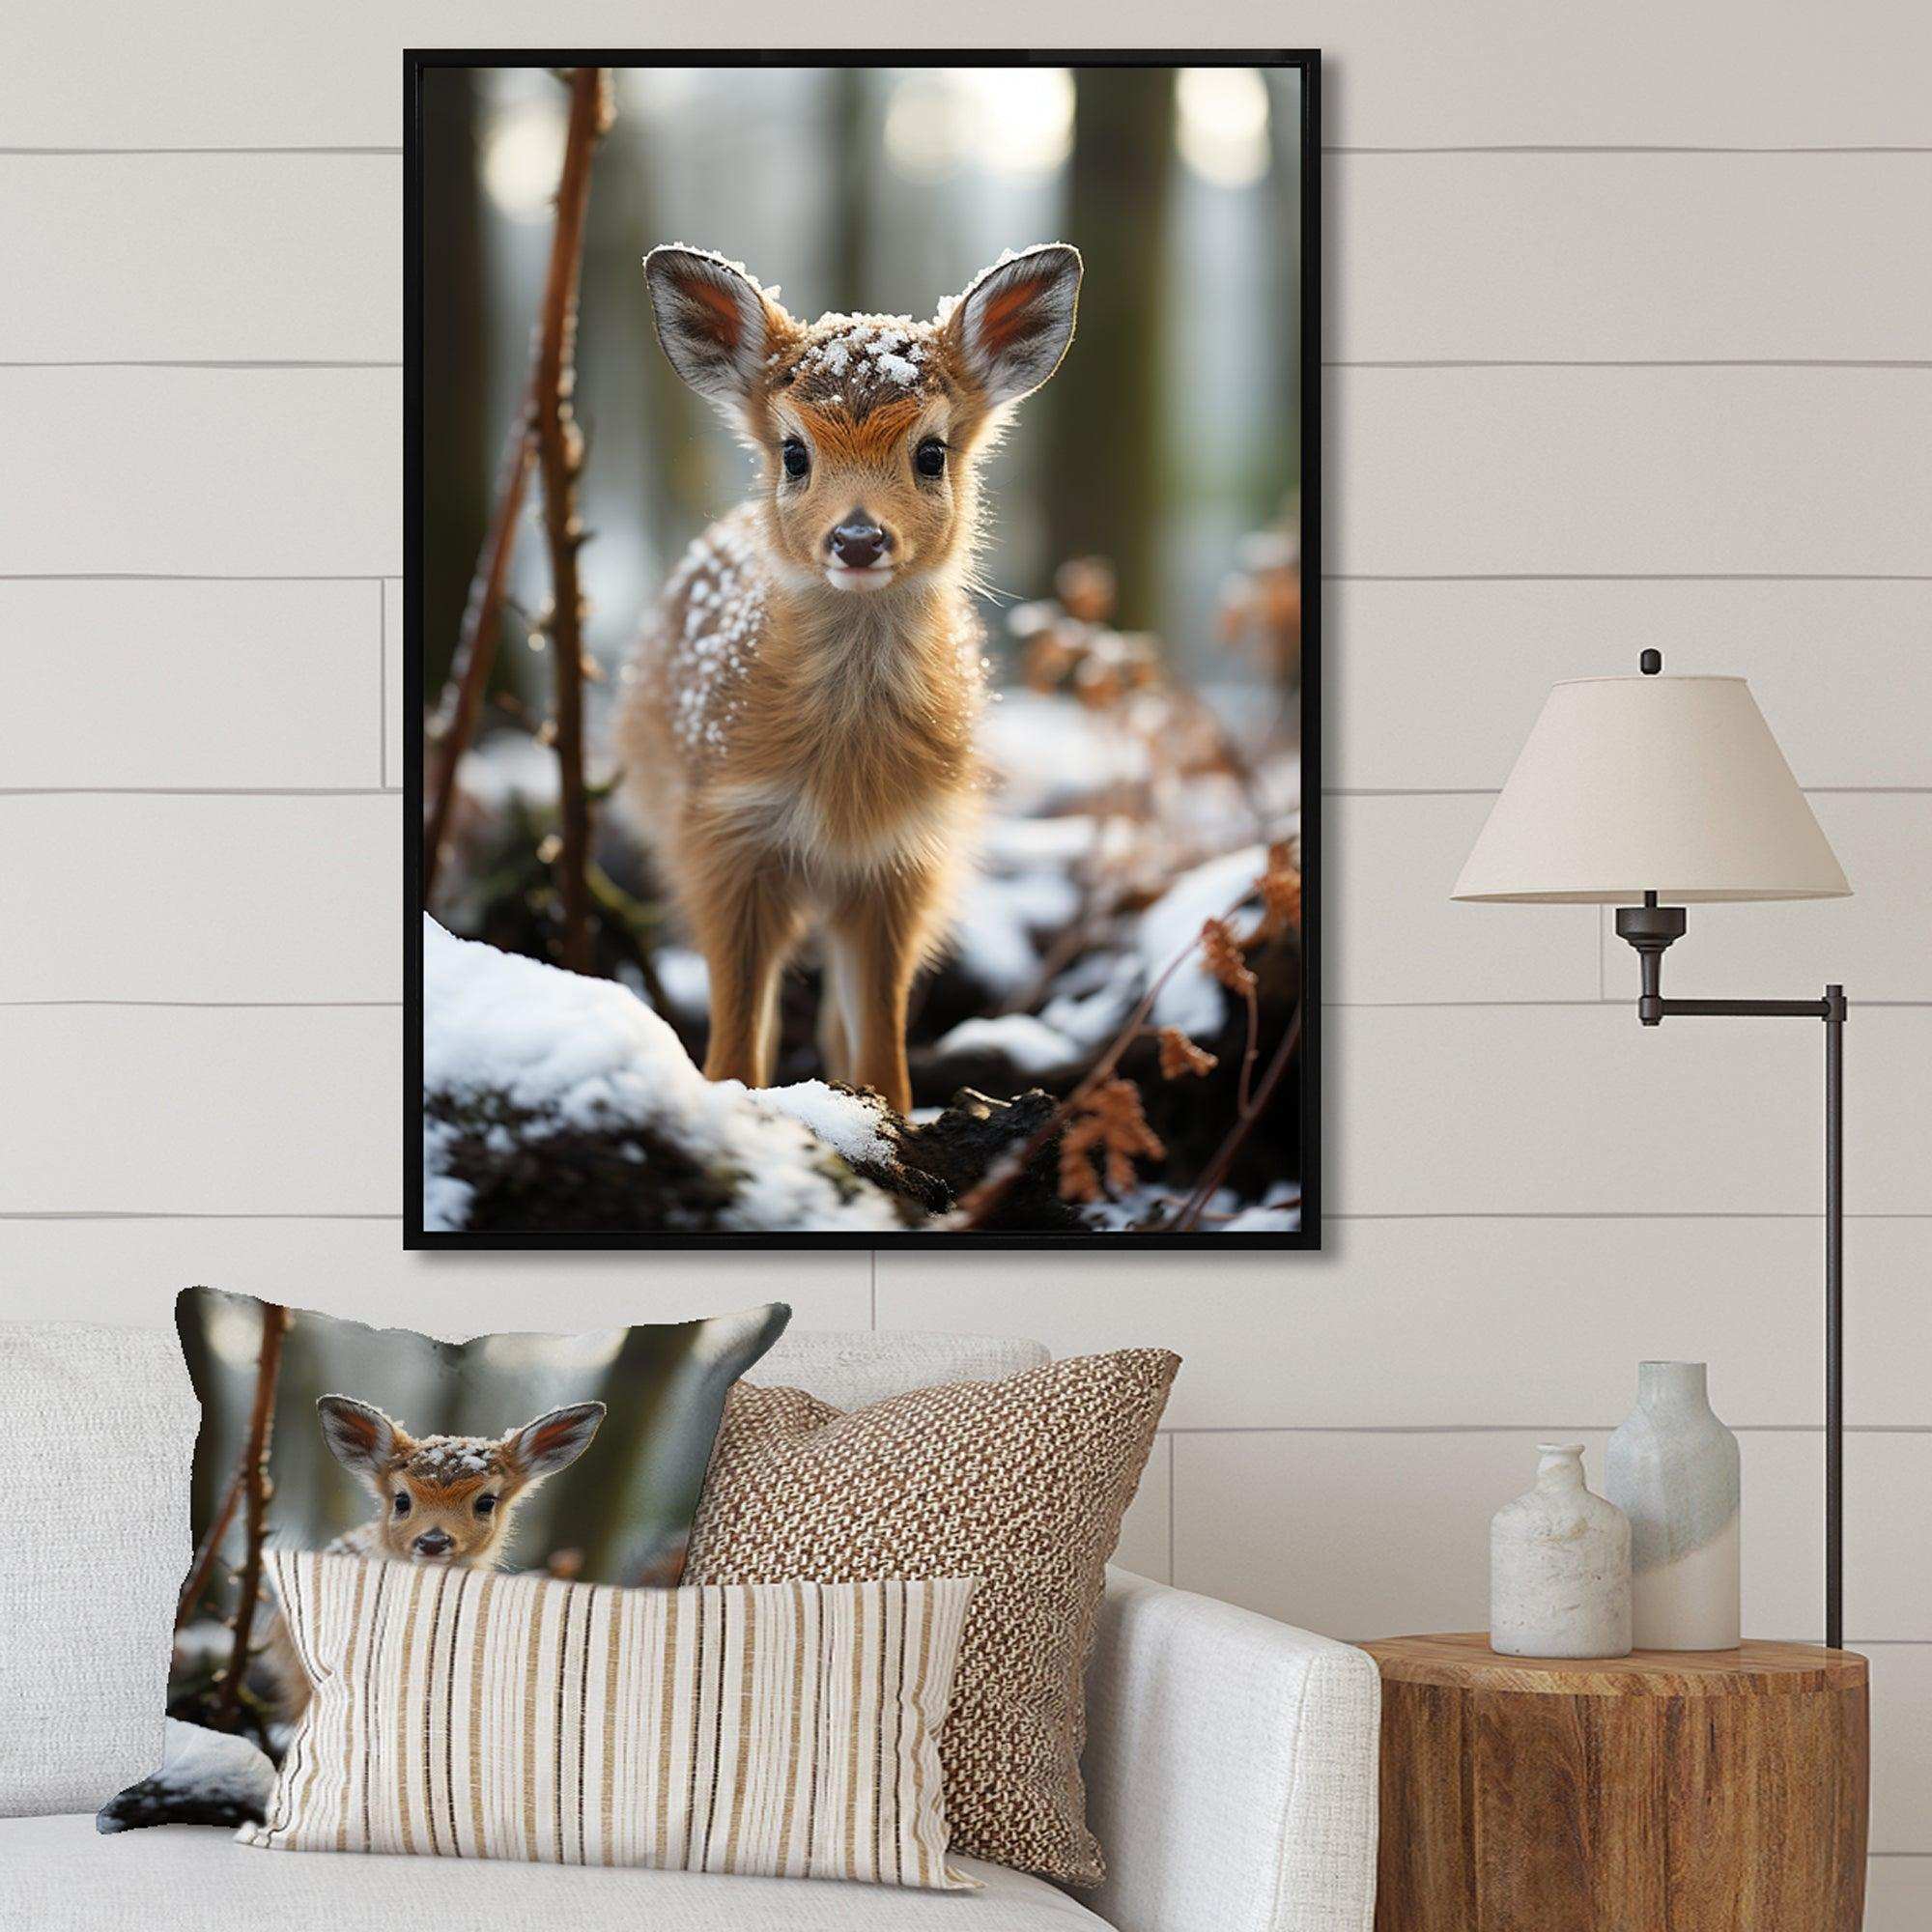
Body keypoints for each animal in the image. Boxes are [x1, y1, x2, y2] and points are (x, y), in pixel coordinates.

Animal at [616, 242, 1084, 1114]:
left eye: (931, 453)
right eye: (795, 452)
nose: (859, 537)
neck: (843, 786)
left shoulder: (903, 861)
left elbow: (881, 1034)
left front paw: (890, 1122)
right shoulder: (723, 837)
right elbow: (737, 1036)